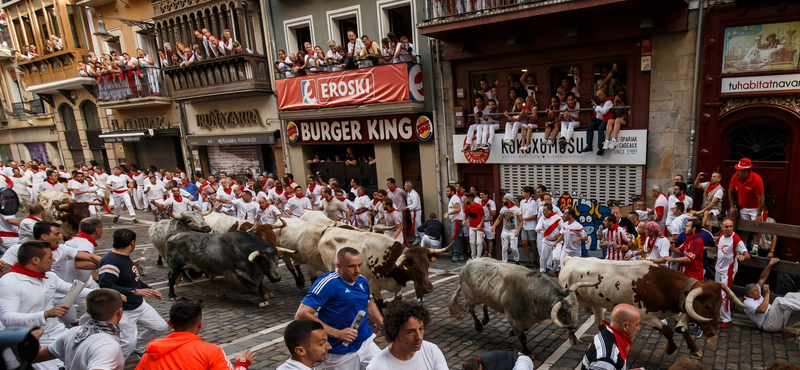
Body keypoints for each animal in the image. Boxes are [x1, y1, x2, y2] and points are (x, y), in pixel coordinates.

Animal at [446, 258, 596, 354]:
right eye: (564, 313)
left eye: (576, 308)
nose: (575, 326)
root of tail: (468, 262)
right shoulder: (514, 319)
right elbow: (523, 337)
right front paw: (526, 350)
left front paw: (512, 333)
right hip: (471, 298)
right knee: (470, 310)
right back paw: (478, 325)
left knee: (484, 305)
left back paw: (485, 319)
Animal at [556, 256, 744, 356]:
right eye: (706, 306)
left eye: (720, 304)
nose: (713, 333)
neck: (662, 284)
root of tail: (570, 259)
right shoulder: (646, 315)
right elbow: (667, 331)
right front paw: (670, 349)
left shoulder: (672, 310)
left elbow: (683, 330)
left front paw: (695, 349)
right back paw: (572, 338)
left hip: (596, 303)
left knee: (601, 323)